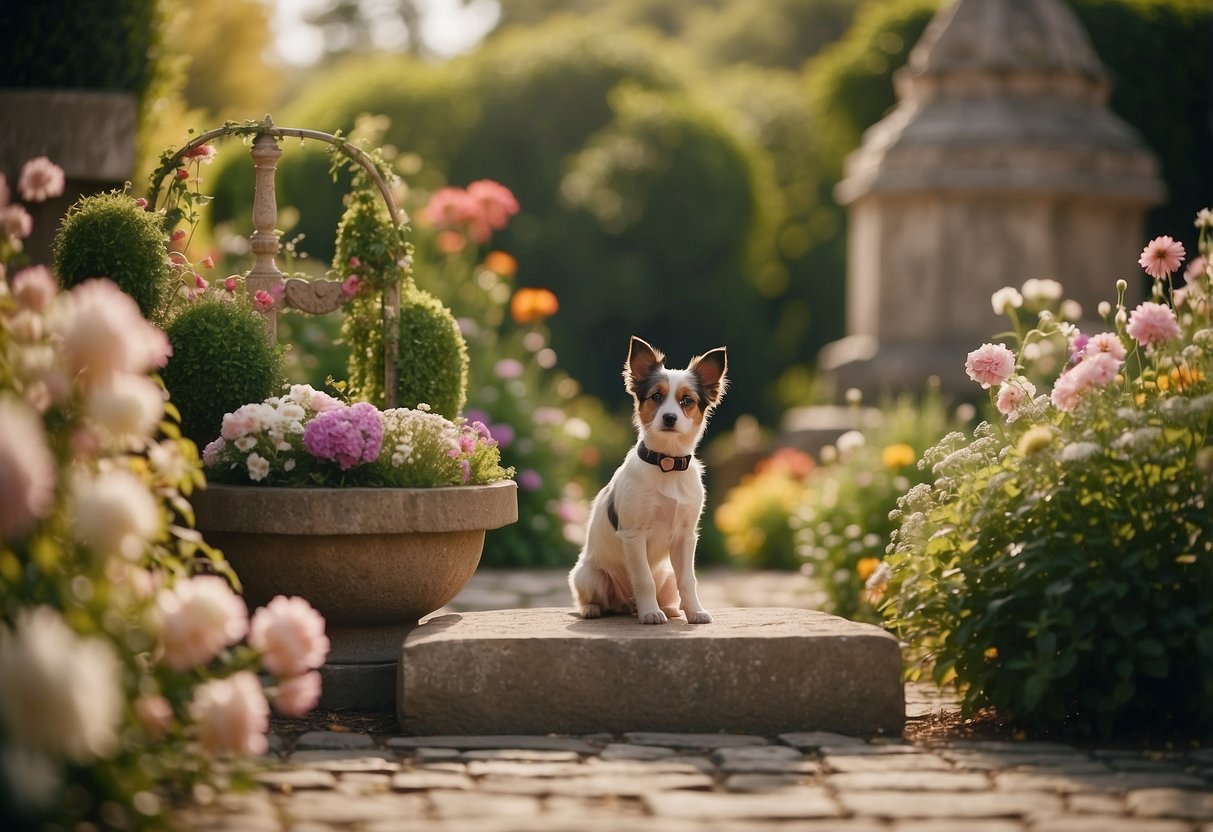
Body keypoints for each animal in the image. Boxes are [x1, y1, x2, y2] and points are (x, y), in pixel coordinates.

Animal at [570, 334, 727, 620]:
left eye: (686, 401)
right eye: (656, 396)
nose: (669, 417)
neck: (667, 463)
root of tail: (625, 604)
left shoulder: (686, 537)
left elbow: (688, 580)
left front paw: (695, 612)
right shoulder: (634, 534)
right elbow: (643, 579)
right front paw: (650, 614)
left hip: (667, 574)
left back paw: (667, 608)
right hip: (587, 576)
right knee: (592, 598)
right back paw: (593, 609)